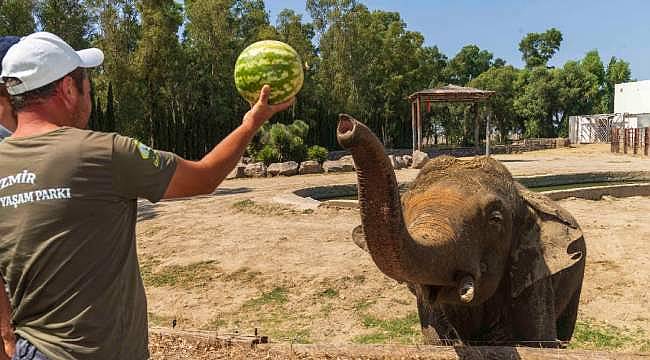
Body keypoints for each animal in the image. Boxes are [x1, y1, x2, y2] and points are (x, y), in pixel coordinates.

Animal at [336, 114, 584, 348]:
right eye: (404, 211)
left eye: (495, 219)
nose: (345, 125)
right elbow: (435, 340)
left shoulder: (533, 276)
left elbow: (539, 341)